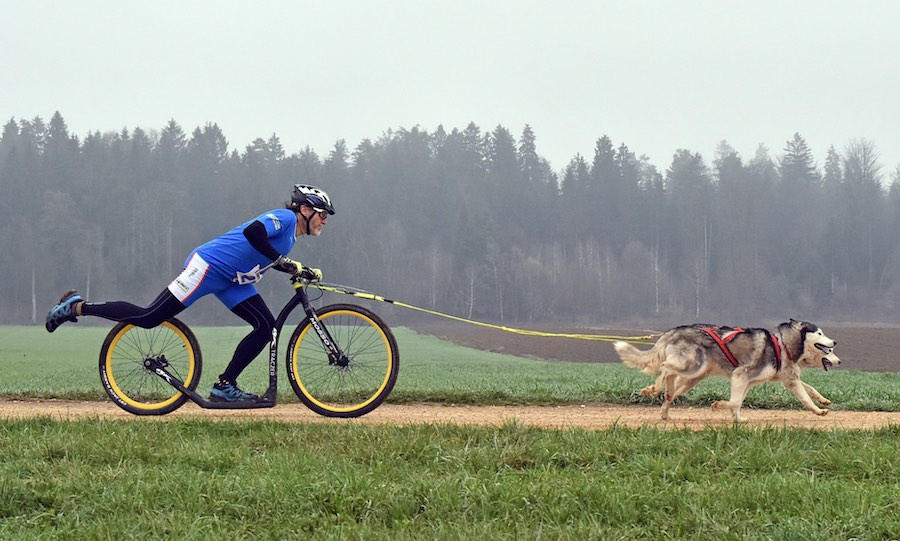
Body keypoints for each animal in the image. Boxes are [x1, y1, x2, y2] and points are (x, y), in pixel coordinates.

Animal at [616, 318, 840, 420]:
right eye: (820, 334)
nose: (835, 342)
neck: (783, 345)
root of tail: (671, 332)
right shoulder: (741, 375)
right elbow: (734, 402)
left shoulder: (772, 380)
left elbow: (808, 390)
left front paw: (822, 402)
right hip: (692, 366)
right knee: (664, 367)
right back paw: (653, 389)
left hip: (692, 376)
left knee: (671, 384)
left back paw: (665, 405)